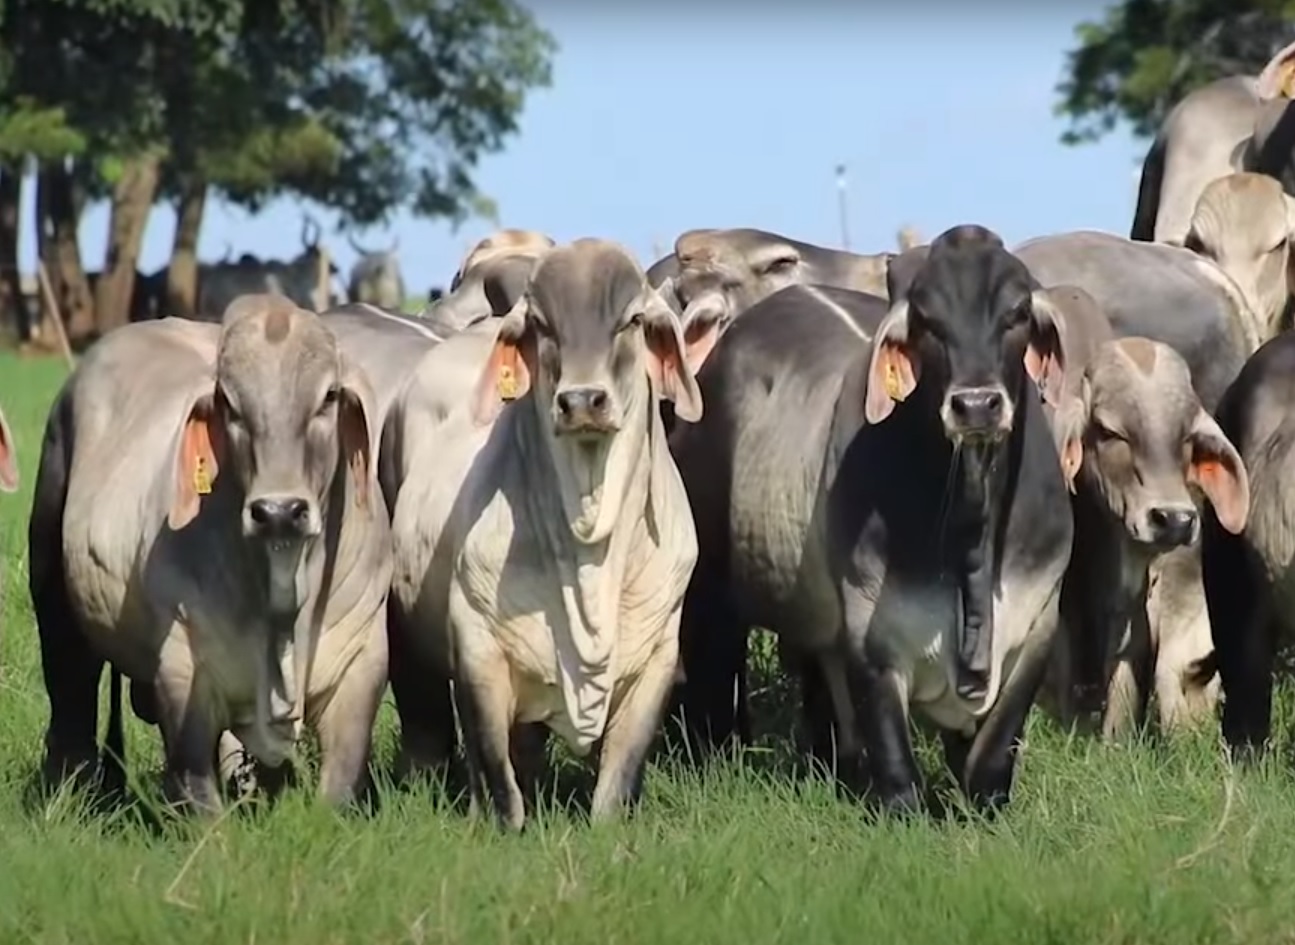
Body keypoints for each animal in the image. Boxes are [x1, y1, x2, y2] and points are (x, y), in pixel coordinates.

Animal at [29, 296, 388, 807]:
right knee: (70, 694)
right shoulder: (183, 672)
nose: (279, 511)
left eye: (328, 397)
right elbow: (196, 786)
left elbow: (339, 786)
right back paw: (68, 788)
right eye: (231, 405)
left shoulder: (362, 664)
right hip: (52, 585)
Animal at [380, 235, 704, 823]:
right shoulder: (478, 653)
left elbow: (616, 783)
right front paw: (504, 820)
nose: (581, 401)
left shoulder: (657, 660)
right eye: (541, 325)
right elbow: (499, 780)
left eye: (632, 319)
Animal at [668, 223, 1072, 812]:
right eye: (926, 319)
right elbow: (896, 763)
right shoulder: (870, 634)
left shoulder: (1037, 630)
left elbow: (990, 760)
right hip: (715, 586)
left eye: (1017, 312)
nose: (976, 405)